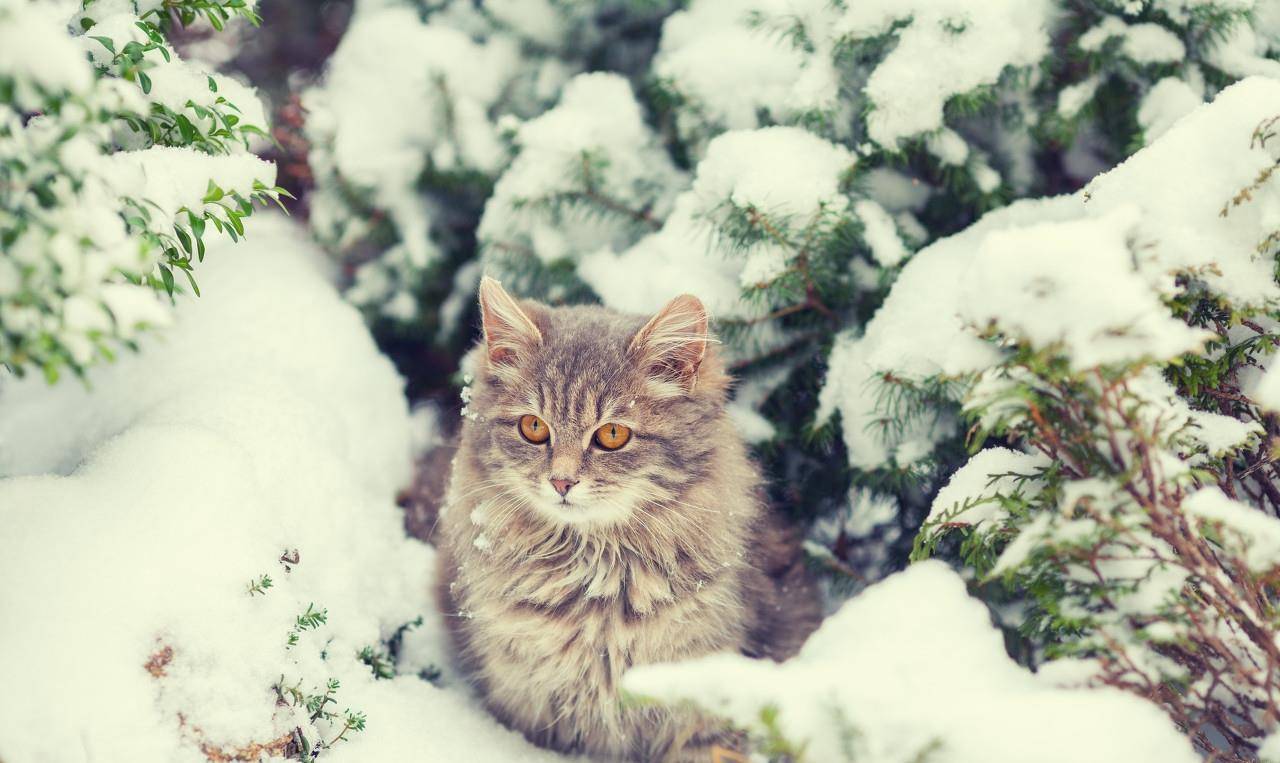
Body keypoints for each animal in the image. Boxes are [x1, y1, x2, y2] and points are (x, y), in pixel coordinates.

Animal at [437, 277, 819, 757]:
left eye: (612, 435)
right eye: (534, 427)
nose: (561, 482)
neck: (592, 576)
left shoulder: (703, 706)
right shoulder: (530, 705)